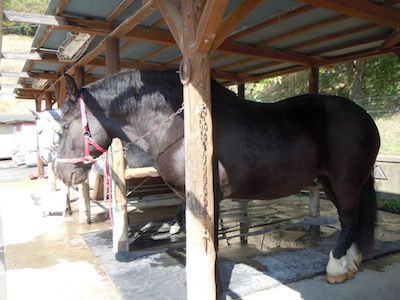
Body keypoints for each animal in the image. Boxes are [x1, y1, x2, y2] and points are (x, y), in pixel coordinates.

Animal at [55, 69, 378, 282]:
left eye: (66, 124)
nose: (62, 171)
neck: (180, 127)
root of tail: (365, 117)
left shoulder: (210, 196)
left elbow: (209, 243)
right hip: (331, 181)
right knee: (351, 218)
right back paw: (351, 260)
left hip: (345, 181)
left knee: (349, 218)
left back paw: (336, 266)